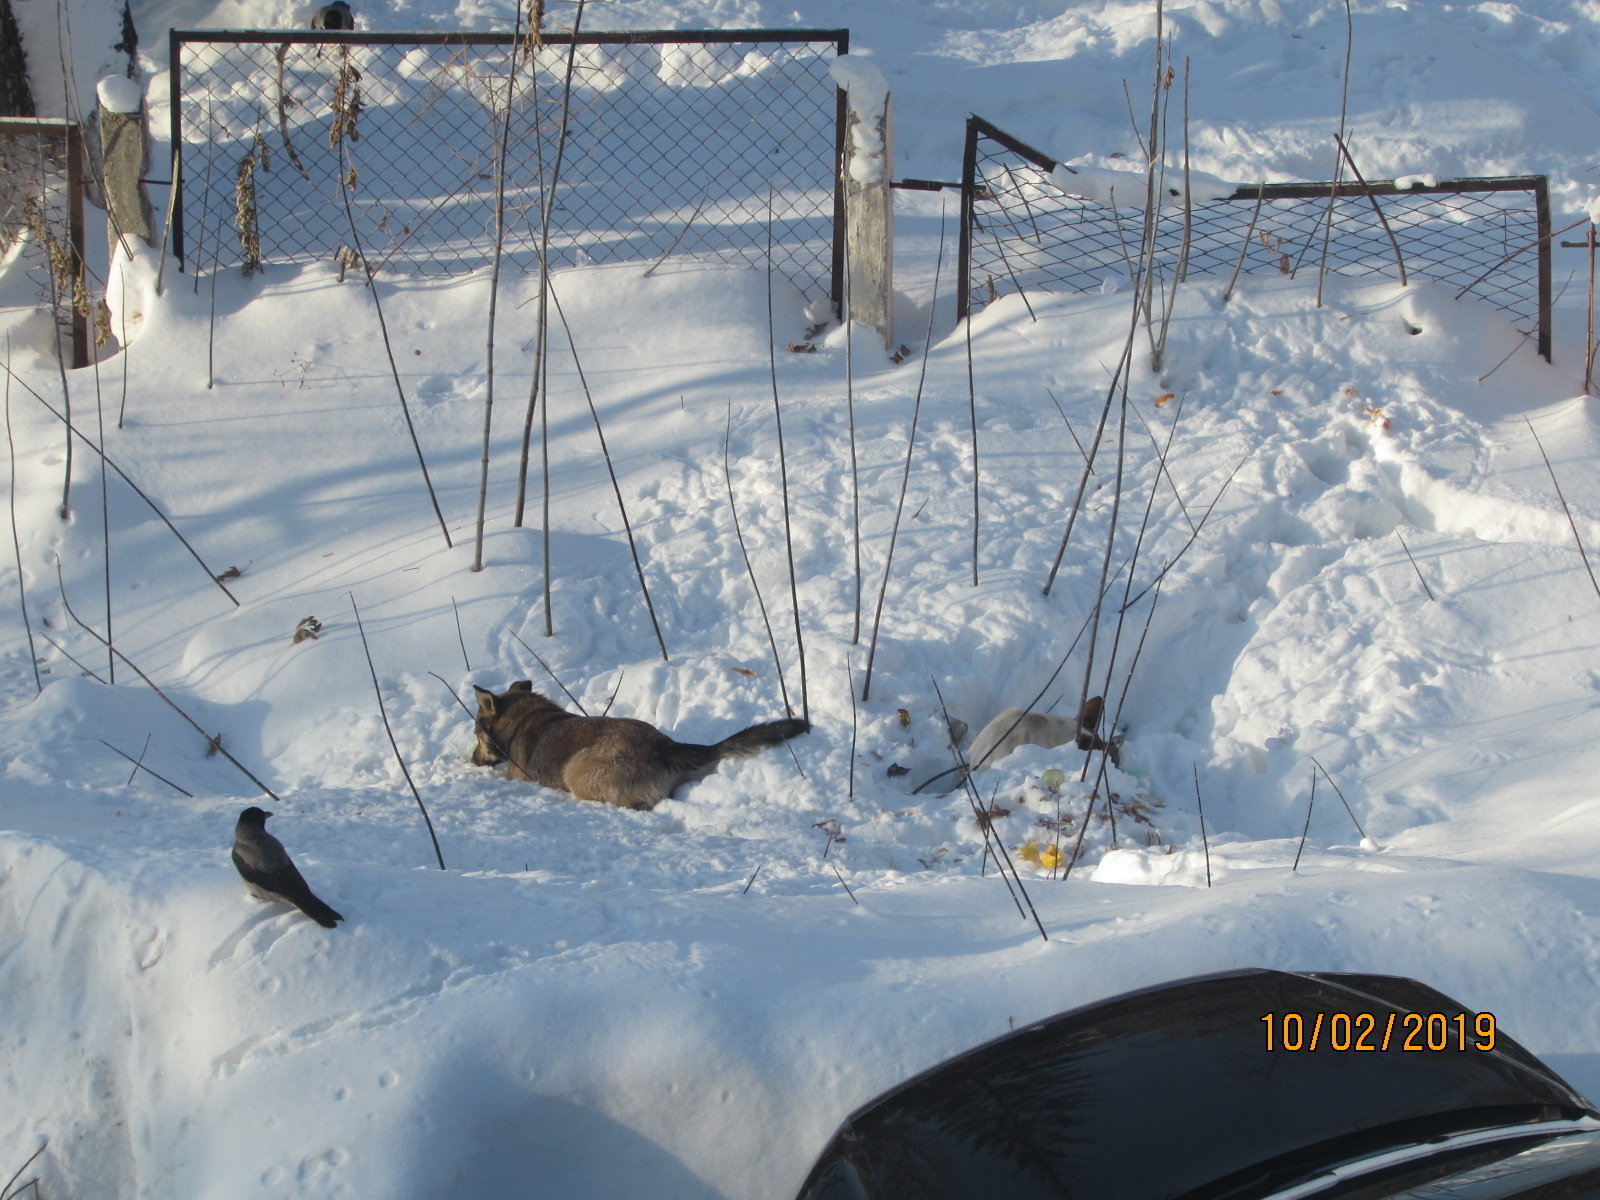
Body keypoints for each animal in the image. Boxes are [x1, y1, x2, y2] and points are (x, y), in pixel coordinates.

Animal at [467, 681, 806, 812]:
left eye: (475, 734)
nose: (472, 760)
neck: (525, 718)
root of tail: (665, 745)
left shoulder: (516, 774)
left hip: (577, 774)